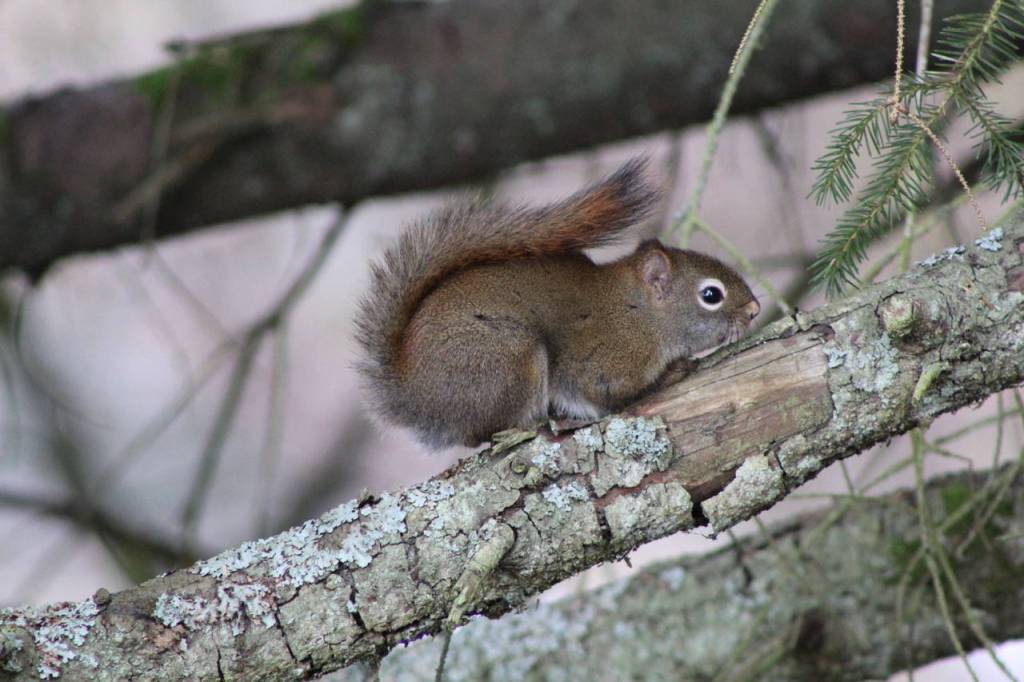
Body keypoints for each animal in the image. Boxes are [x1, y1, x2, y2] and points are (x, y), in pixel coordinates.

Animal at [355, 158, 760, 449]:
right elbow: (614, 394)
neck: (639, 314)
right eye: (711, 295)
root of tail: (412, 393)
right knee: (486, 432)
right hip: (509, 358)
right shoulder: (607, 361)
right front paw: (674, 372)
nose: (755, 310)